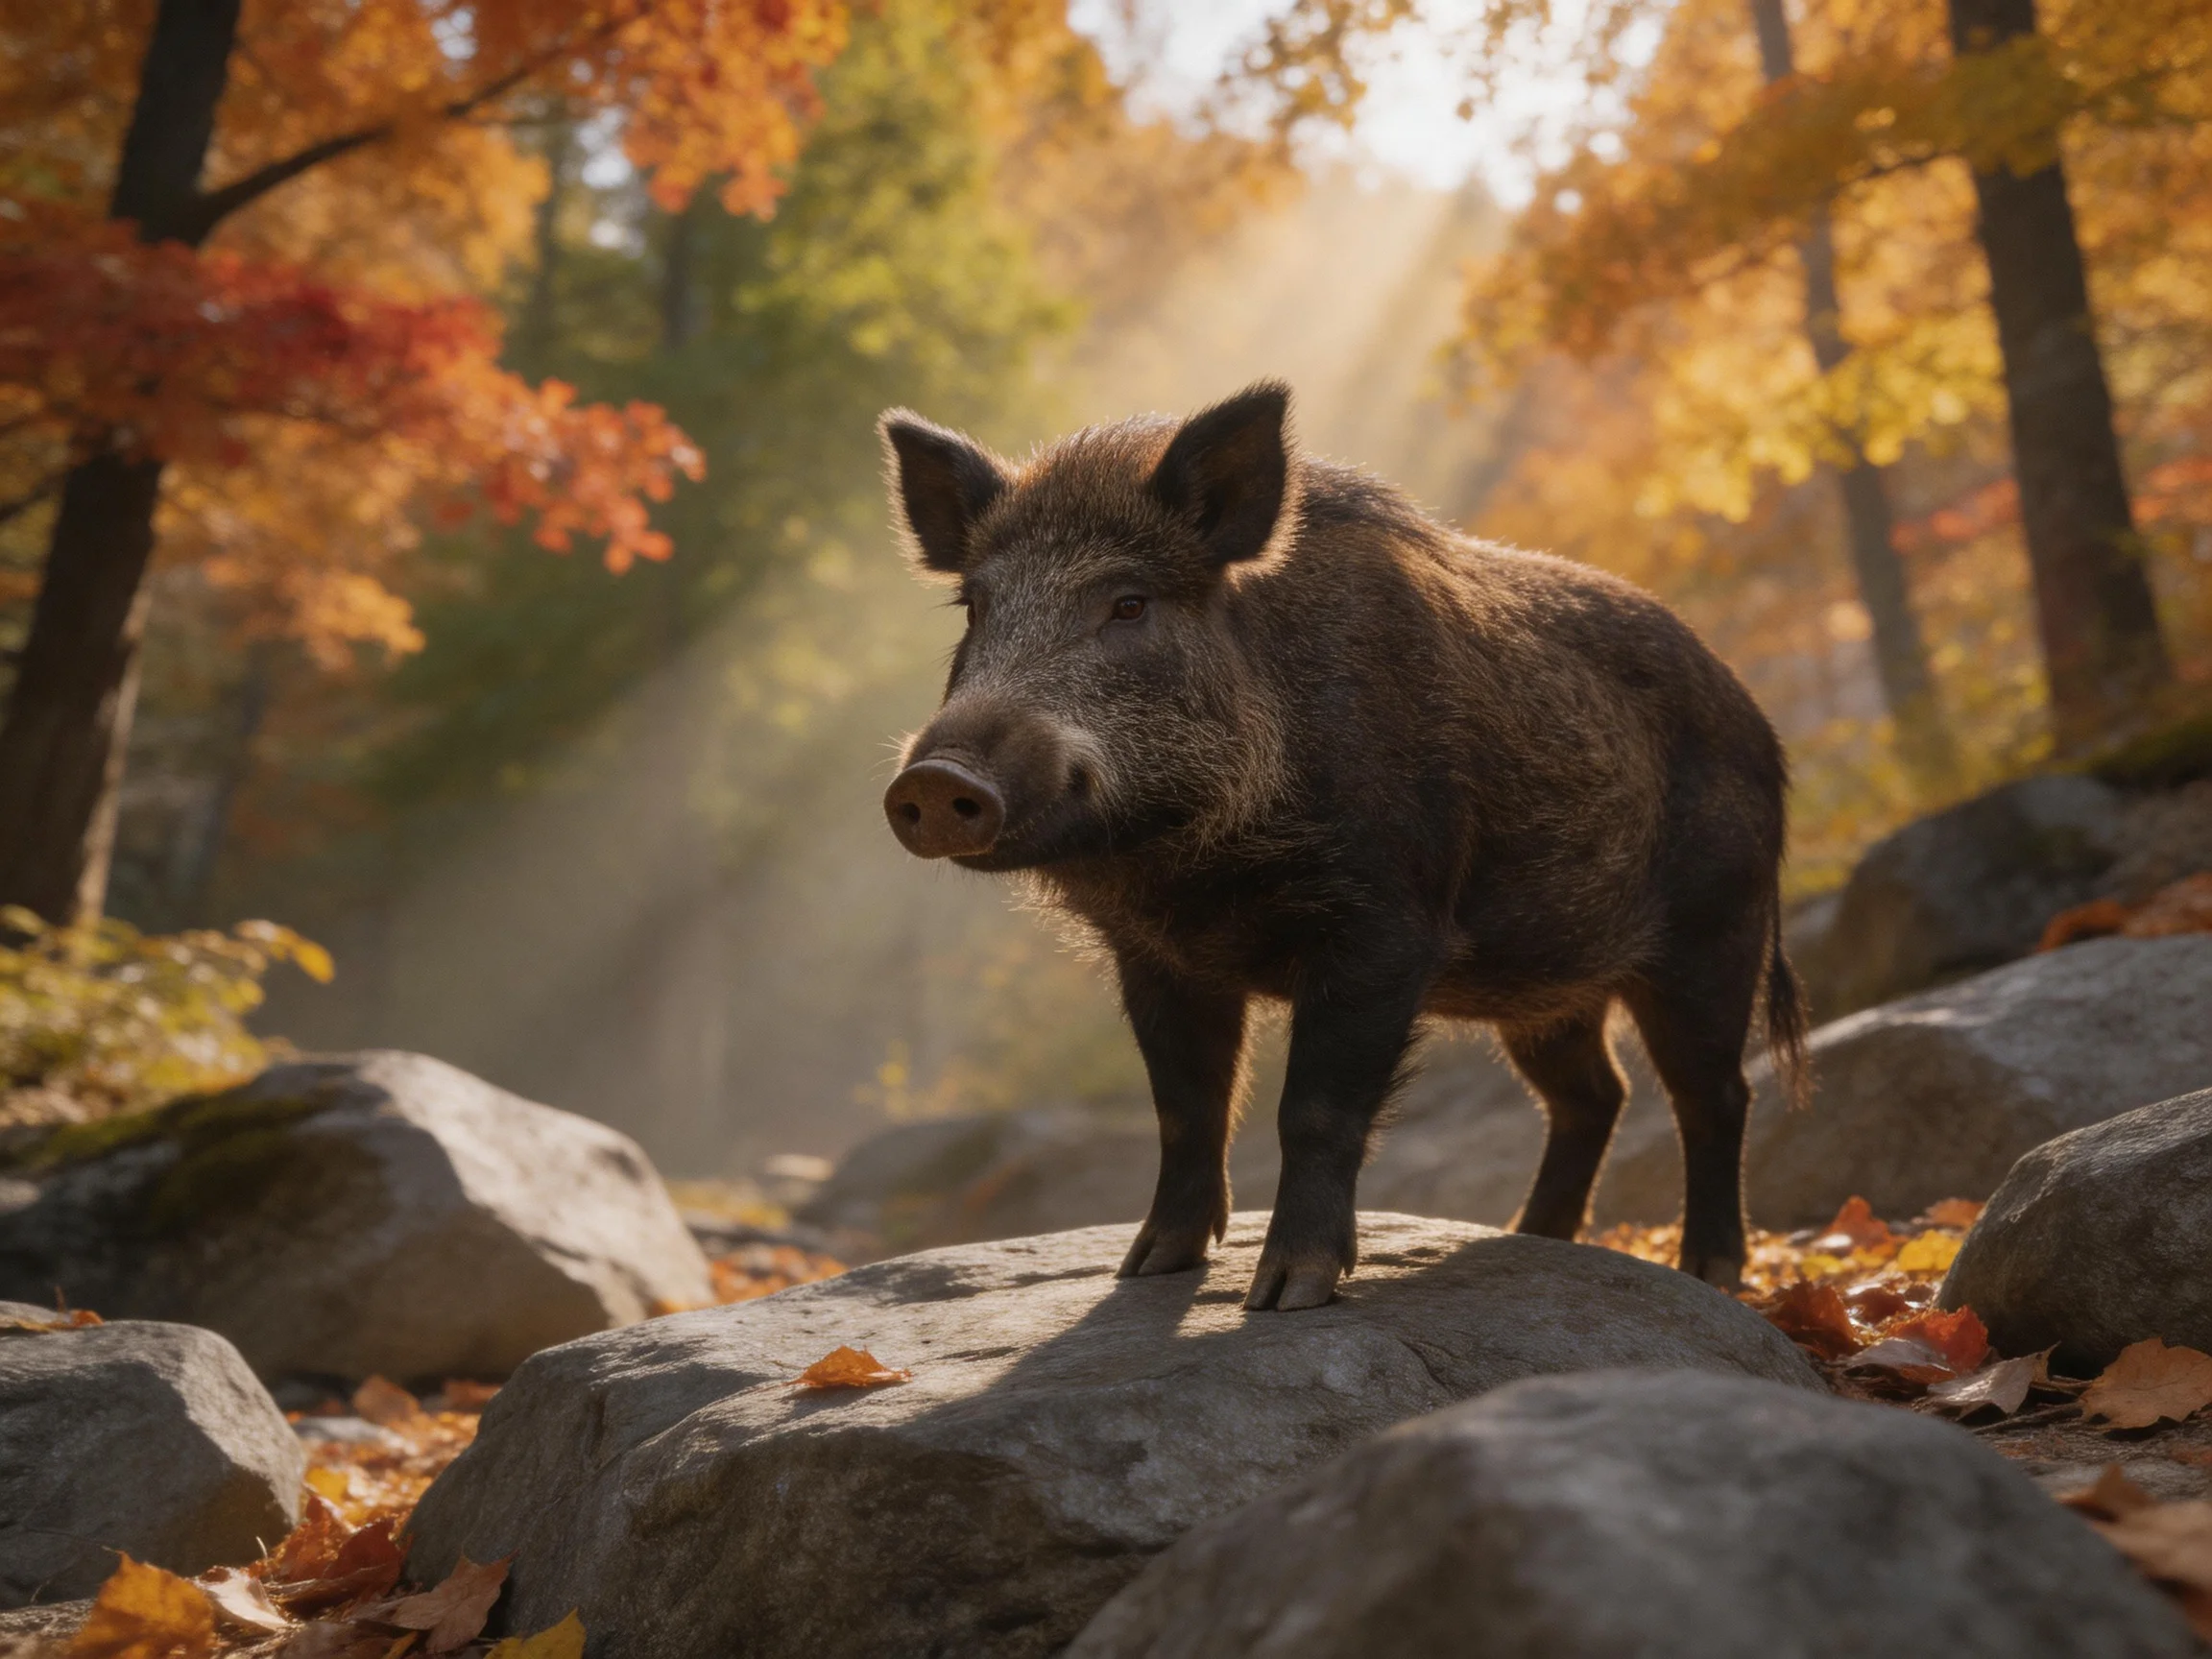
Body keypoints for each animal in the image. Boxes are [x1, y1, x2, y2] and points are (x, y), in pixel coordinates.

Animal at [877, 382, 1807, 1310]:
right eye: (977, 607)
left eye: (1130, 603)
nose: (930, 778)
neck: (1192, 870)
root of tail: (1764, 732)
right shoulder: (1154, 958)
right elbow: (1185, 1107)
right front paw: (1145, 1269)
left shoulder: (1387, 925)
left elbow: (1313, 1110)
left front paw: (1287, 1294)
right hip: (1547, 981)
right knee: (1594, 1096)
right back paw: (1532, 1237)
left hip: (1715, 931)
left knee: (1714, 1093)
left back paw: (1710, 1274)